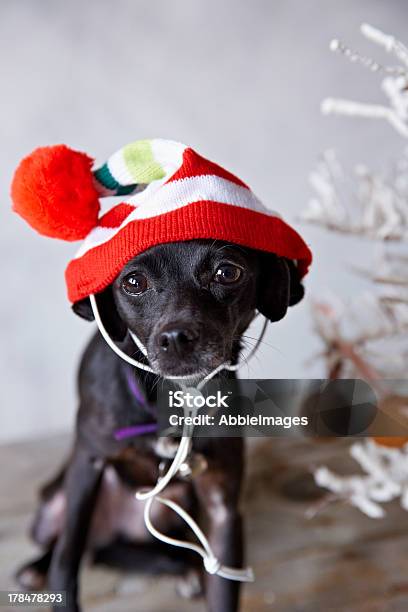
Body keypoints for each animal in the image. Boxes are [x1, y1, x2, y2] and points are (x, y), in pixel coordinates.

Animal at [16, 239, 302, 612]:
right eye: (134, 282)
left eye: (227, 272)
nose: (176, 338)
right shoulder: (87, 466)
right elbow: (67, 556)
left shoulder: (222, 506)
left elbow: (223, 586)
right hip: (52, 507)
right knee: (72, 544)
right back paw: (36, 568)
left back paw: (187, 570)